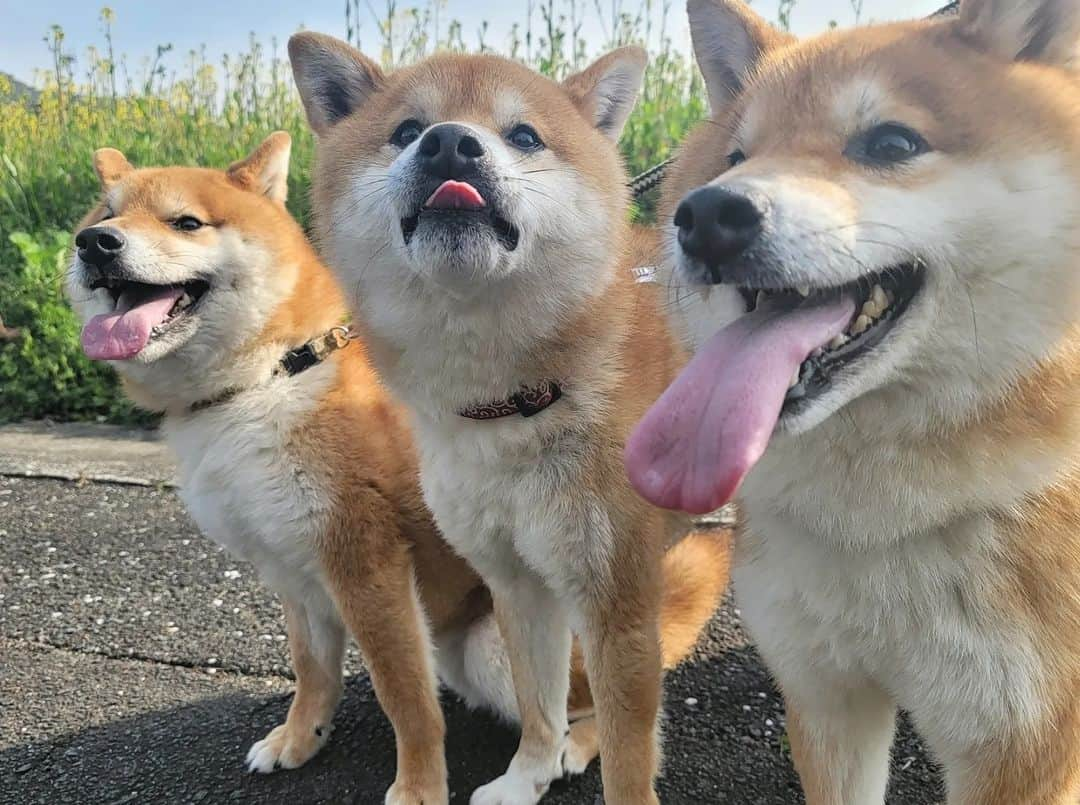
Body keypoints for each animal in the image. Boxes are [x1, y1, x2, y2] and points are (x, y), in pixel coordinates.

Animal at [65, 138, 725, 803]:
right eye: (104, 216)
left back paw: (571, 750)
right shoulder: (288, 568)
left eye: (185, 223)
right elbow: (311, 669)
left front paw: (417, 789)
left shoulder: (365, 561)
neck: (269, 376)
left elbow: (405, 697)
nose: (95, 243)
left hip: (496, 646)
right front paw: (300, 737)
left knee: (603, 710)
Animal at [289, 32, 725, 803]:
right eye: (406, 129)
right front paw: (526, 778)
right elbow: (537, 704)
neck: (510, 403)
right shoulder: (518, 583)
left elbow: (628, 753)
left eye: (524, 135)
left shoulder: (615, 601)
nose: (449, 144)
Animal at [630, 0, 1080, 799]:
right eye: (735, 158)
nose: (706, 215)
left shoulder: (1023, 748)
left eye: (892, 142)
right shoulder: (825, 695)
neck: (880, 522)